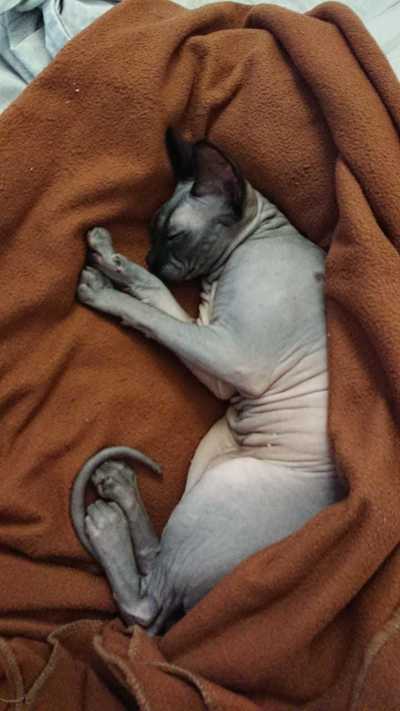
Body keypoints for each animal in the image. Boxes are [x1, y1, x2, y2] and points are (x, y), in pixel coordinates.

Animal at [70, 130, 345, 635]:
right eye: (153, 230)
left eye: (175, 235)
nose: (151, 257)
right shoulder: (212, 349)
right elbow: (156, 298)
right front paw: (114, 260)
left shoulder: (234, 357)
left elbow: (153, 318)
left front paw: (103, 287)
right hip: (207, 460)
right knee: (154, 557)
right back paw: (118, 487)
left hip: (219, 492)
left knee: (145, 604)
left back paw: (105, 524)